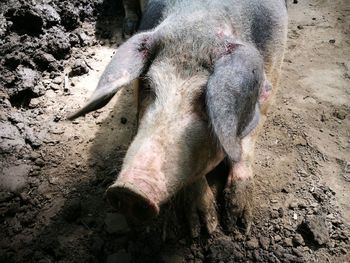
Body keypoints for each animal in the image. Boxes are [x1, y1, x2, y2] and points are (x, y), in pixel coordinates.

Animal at [68, 0, 288, 238]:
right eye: (148, 85)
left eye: (204, 99)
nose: (129, 192)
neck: (202, 19)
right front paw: (203, 230)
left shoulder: (272, 74)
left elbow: (247, 144)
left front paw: (237, 226)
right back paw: (128, 28)